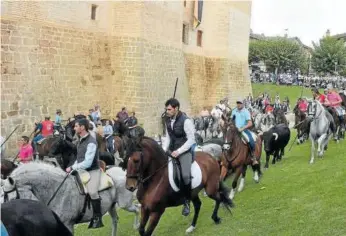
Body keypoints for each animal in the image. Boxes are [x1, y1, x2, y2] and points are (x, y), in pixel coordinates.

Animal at [1, 162, 139, 236]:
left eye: (8, 196)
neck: (57, 189)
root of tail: (122, 173)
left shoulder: (68, 224)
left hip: (125, 204)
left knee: (137, 208)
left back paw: (137, 226)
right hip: (111, 206)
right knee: (115, 220)